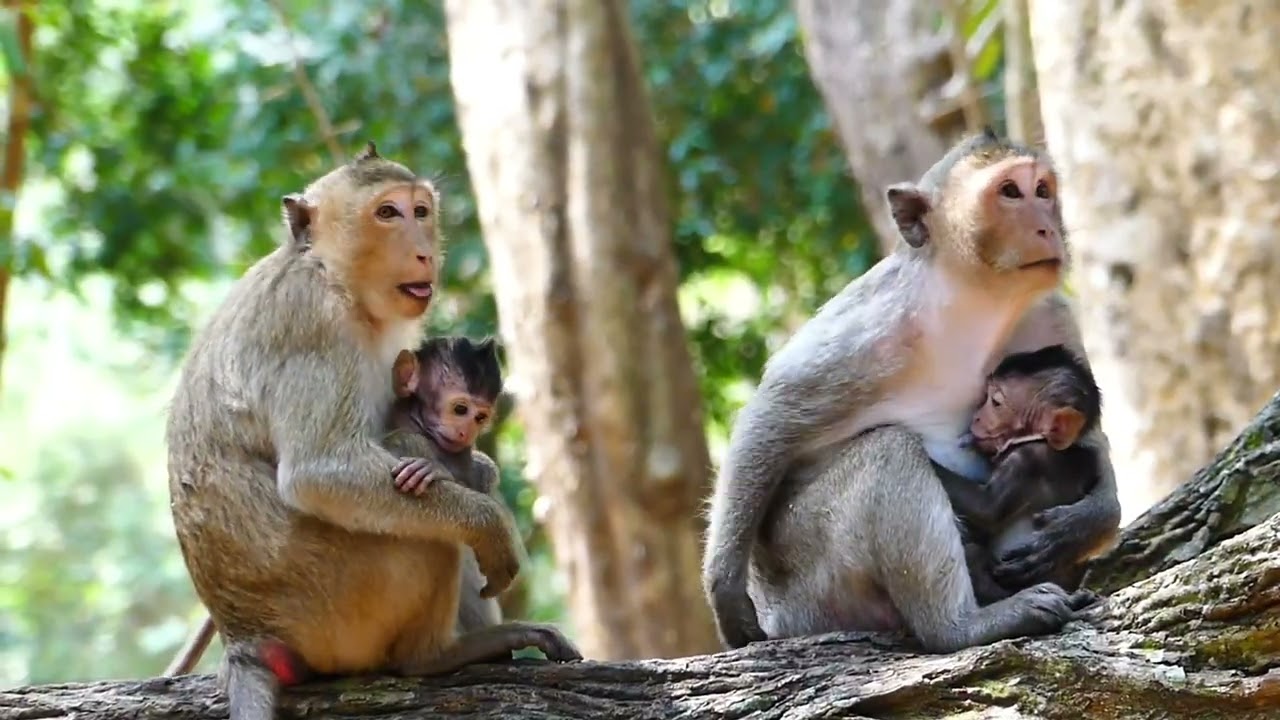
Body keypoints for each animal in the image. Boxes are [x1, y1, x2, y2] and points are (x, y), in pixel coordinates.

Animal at [166, 143, 580, 720]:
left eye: (420, 211)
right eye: (387, 213)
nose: (425, 253)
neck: (332, 275)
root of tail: (244, 639)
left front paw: (479, 465)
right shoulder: (313, 322)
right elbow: (320, 472)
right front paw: (492, 525)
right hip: (337, 607)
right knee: (433, 533)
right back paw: (436, 655)